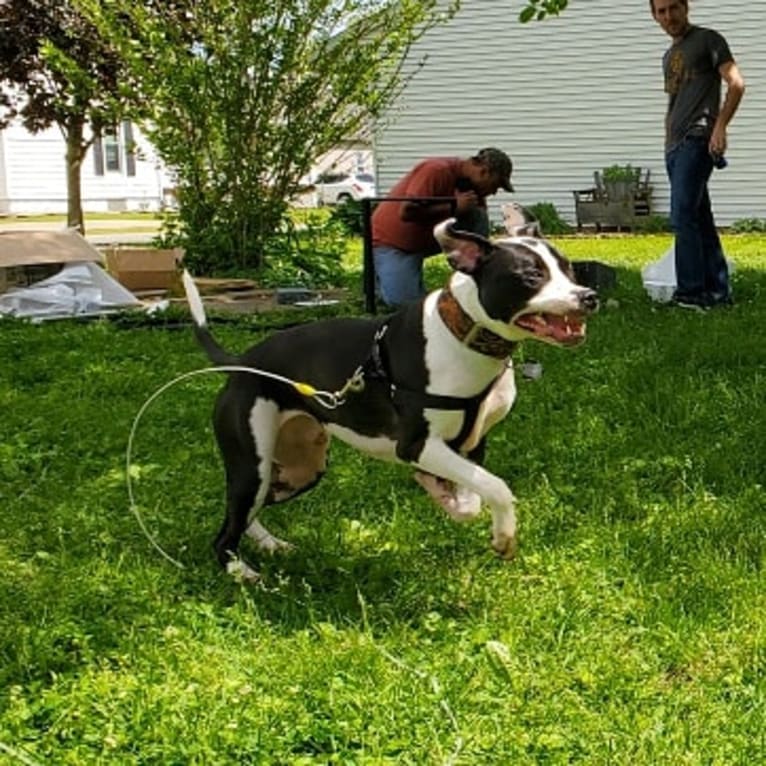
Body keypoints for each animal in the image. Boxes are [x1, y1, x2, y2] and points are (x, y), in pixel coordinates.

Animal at [182, 218, 600, 584]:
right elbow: (496, 487)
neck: (462, 332)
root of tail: (241, 364)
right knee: (226, 530)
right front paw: (503, 535)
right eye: (531, 275)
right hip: (252, 464)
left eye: (569, 270)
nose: (589, 297)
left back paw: (269, 544)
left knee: (247, 512)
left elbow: (472, 497)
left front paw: (445, 497)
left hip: (299, 469)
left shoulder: (471, 442)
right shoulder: (416, 444)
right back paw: (241, 571)